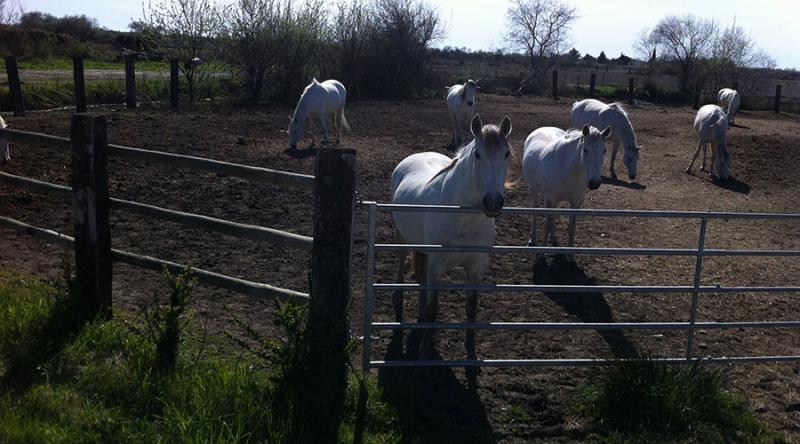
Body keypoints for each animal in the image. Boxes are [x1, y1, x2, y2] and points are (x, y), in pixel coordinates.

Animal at [392, 112, 512, 360]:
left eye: (506, 154)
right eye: (477, 154)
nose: (493, 202)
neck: (463, 219)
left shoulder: (476, 266)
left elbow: (471, 307)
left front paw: (471, 350)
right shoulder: (437, 266)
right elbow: (434, 307)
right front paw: (424, 351)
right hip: (403, 239)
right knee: (401, 265)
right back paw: (398, 300)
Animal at [524, 124, 612, 264]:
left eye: (604, 151)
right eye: (585, 150)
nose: (594, 183)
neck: (568, 169)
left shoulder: (575, 204)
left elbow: (571, 229)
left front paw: (571, 256)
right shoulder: (551, 198)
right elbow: (546, 226)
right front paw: (542, 254)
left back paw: (553, 238)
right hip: (534, 191)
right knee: (535, 213)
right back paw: (532, 240)